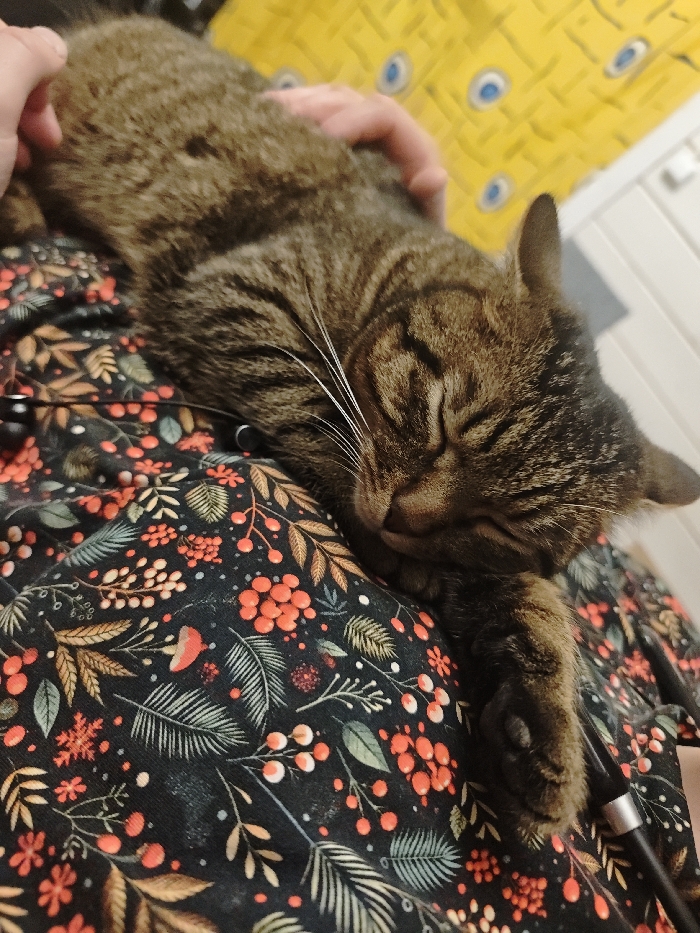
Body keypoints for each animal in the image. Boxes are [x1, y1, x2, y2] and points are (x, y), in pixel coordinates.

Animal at [2, 13, 699, 838]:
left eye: (500, 521)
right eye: (437, 416)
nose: (406, 517)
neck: (394, 276)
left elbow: (532, 603)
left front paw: (541, 724)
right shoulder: (244, 293)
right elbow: (316, 417)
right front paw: (401, 547)